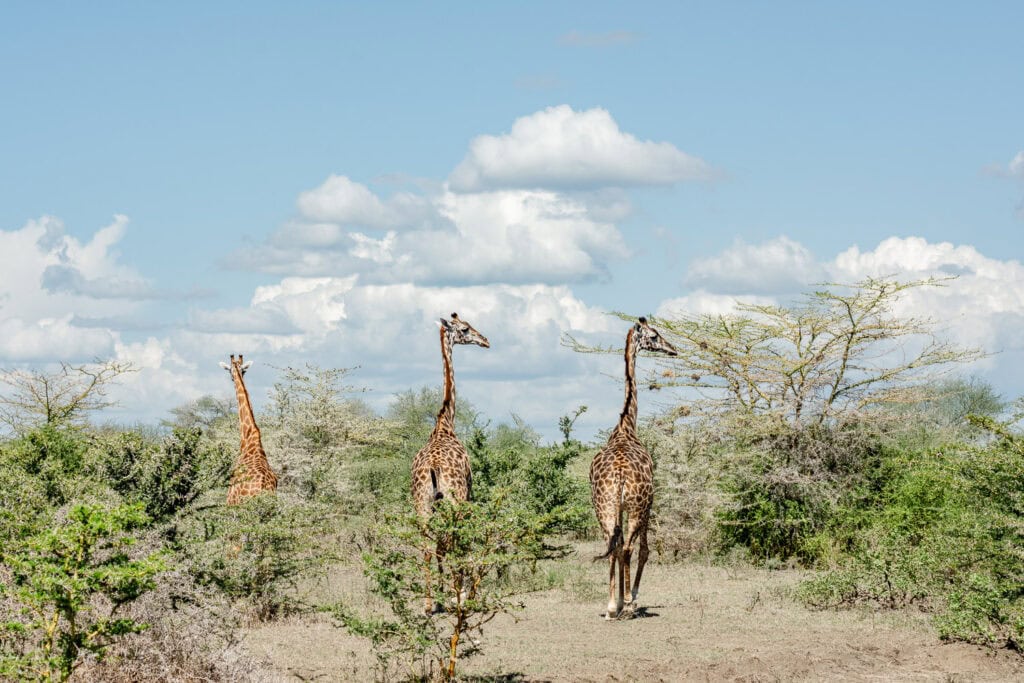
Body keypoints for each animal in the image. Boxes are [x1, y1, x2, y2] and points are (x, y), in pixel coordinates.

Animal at [219, 356, 278, 505]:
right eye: (244, 371)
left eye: (229, 371)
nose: (233, 378)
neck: (248, 437)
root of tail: (263, 487)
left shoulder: (229, 501)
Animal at [409, 313, 489, 614]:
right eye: (465, 329)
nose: (485, 340)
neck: (445, 423)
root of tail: (433, 467)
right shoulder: (468, 491)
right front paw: (461, 594)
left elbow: (439, 546)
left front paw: (445, 593)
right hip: (456, 499)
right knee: (452, 540)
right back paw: (457, 596)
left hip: (421, 502)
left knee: (427, 545)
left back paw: (429, 603)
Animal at [589, 317, 675, 618]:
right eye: (655, 335)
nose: (673, 349)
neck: (626, 425)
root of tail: (619, 474)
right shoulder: (650, 503)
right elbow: (646, 549)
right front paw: (633, 597)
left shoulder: (618, 508)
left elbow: (617, 546)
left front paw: (616, 601)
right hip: (636, 507)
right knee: (627, 547)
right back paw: (626, 604)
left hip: (603, 506)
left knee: (613, 546)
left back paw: (610, 606)